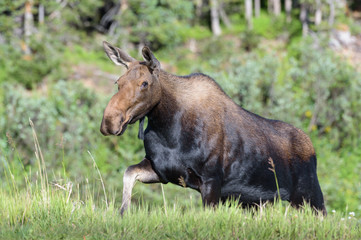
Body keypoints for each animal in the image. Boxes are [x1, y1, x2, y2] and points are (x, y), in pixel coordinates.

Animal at [99, 41, 326, 216]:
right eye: (118, 82)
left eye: (145, 83)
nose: (110, 121)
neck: (167, 128)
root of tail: (312, 148)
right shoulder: (161, 170)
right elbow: (128, 173)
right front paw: (122, 213)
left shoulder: (211, 180)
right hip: (256, 202)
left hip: (310, 195)